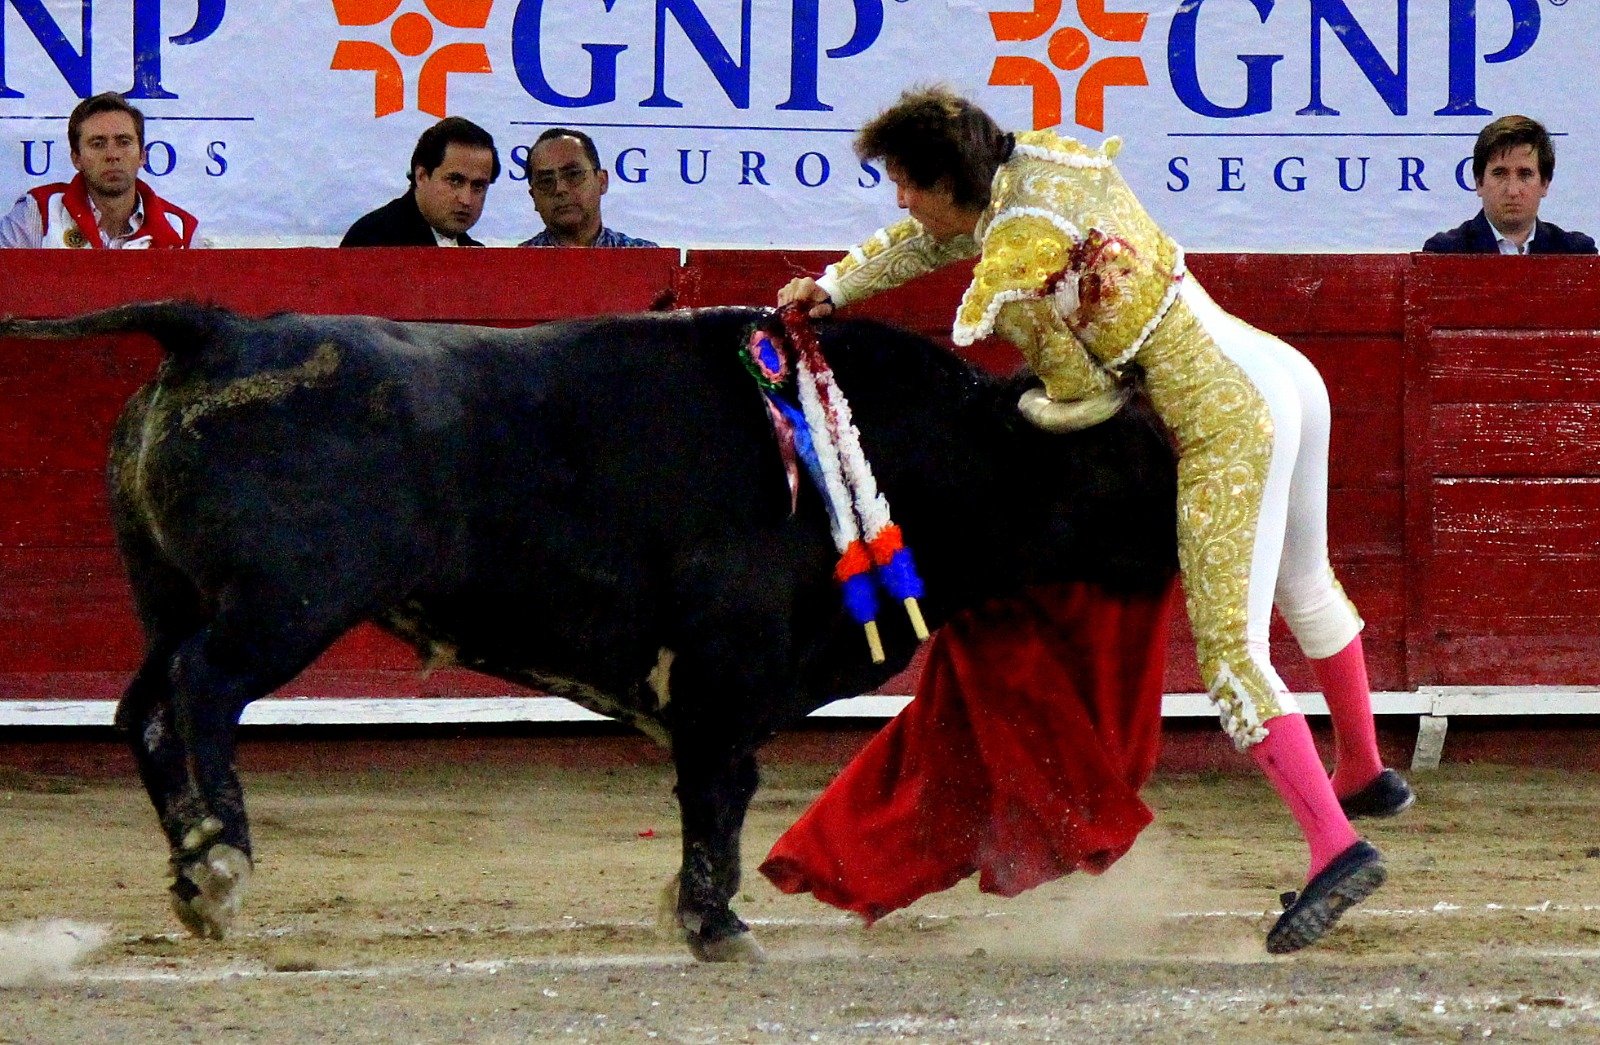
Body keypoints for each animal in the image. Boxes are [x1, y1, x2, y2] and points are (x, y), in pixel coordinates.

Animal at [0, 302, 1178, 961]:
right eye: (1132, 460)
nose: (1190, 548)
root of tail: (219, 330)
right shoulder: (726, 671)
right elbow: (721, 791)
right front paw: (716, 925)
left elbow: (717, 792)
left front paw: (699, 913)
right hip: (280, 606)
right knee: (201, 692)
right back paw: (219, 862)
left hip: (170, 595)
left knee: (143, 706)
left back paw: (193, 880)